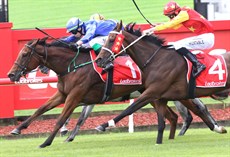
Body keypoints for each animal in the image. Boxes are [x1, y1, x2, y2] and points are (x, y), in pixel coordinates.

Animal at [95, 21, 228, 135]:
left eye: (111, 39)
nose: (98, 60)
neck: (157, 59)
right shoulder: (157, 93)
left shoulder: (152, 91)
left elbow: (130, 108)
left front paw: (104, 125)